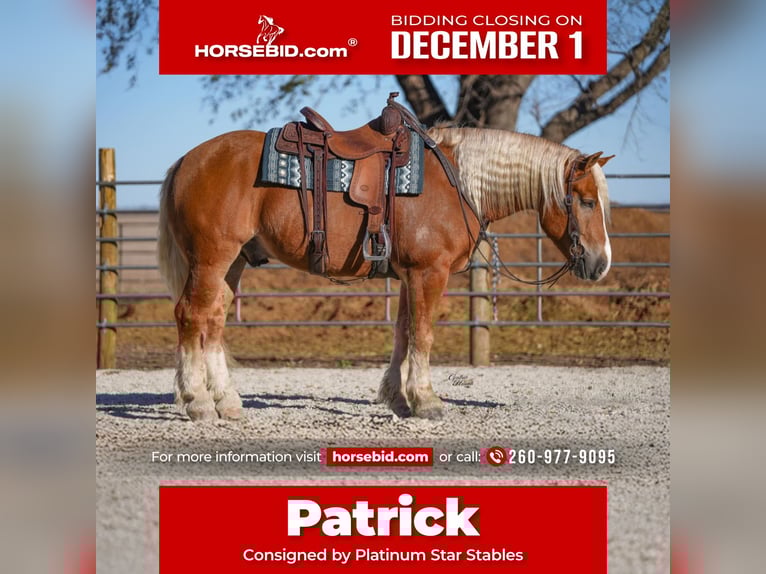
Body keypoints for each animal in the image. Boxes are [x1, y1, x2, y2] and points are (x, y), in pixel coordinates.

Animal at [157, 120, 613, 422]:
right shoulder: (430, 272)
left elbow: (403, 333)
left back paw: (228, 402)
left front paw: (398, 397)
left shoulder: (412, 275)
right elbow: (423, 334)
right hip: (211, 258)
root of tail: (186, 161)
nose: (601, 263)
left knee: (214, 320)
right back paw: (197, 401)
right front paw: (427, 401)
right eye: (587, 201)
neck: (458, 181)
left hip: (232, 263)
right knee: (190, 316)